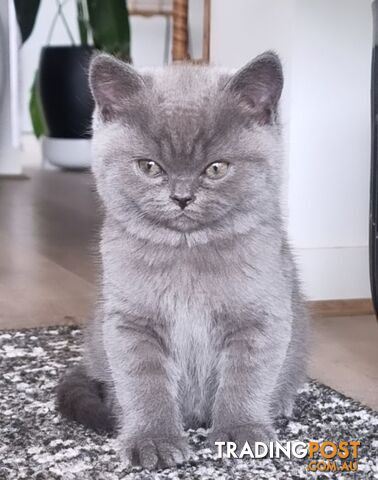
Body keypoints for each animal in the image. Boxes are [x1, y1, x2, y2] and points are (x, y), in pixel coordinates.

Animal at [57, 51, 308, 468]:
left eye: (216, 168)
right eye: (149, 166)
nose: (182, 197)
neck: (187, 253)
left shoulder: (261, 317)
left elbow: (246, 377)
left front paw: (241, 433)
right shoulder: (130, 324)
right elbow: (144, 384)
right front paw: (153, 440)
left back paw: (282, 401)